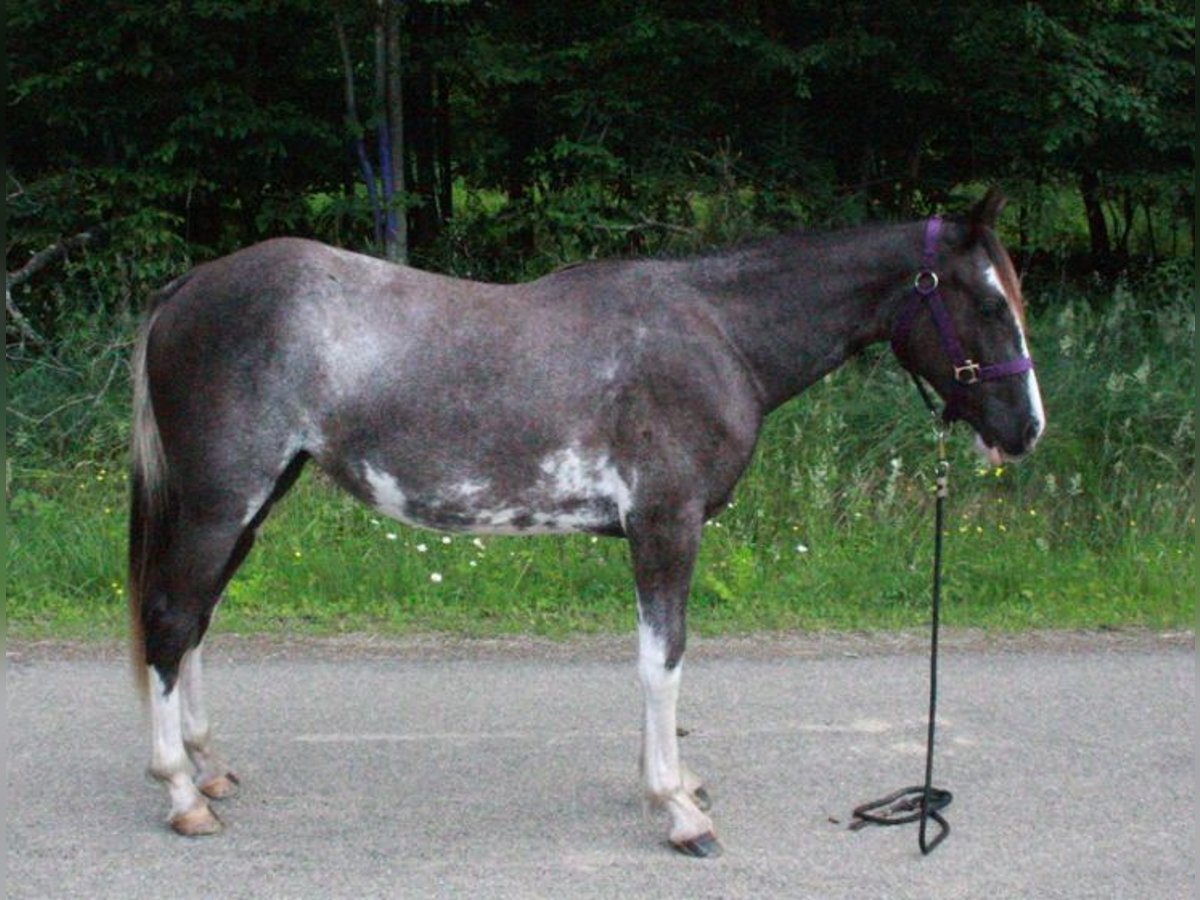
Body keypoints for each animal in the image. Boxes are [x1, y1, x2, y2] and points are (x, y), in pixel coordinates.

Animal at [128, 188, 1043, 857]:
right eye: (987, 302)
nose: (1025, 429)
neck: (719, 335)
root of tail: (187, 289)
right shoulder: (666, 526)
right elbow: (663, 661)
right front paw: (679, 811)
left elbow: (656, 663)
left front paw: (672, 781)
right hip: (220, 502)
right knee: (172, 620)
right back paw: (180, 792)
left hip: (253, 501)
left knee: (197, 620)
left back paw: (208, 770)